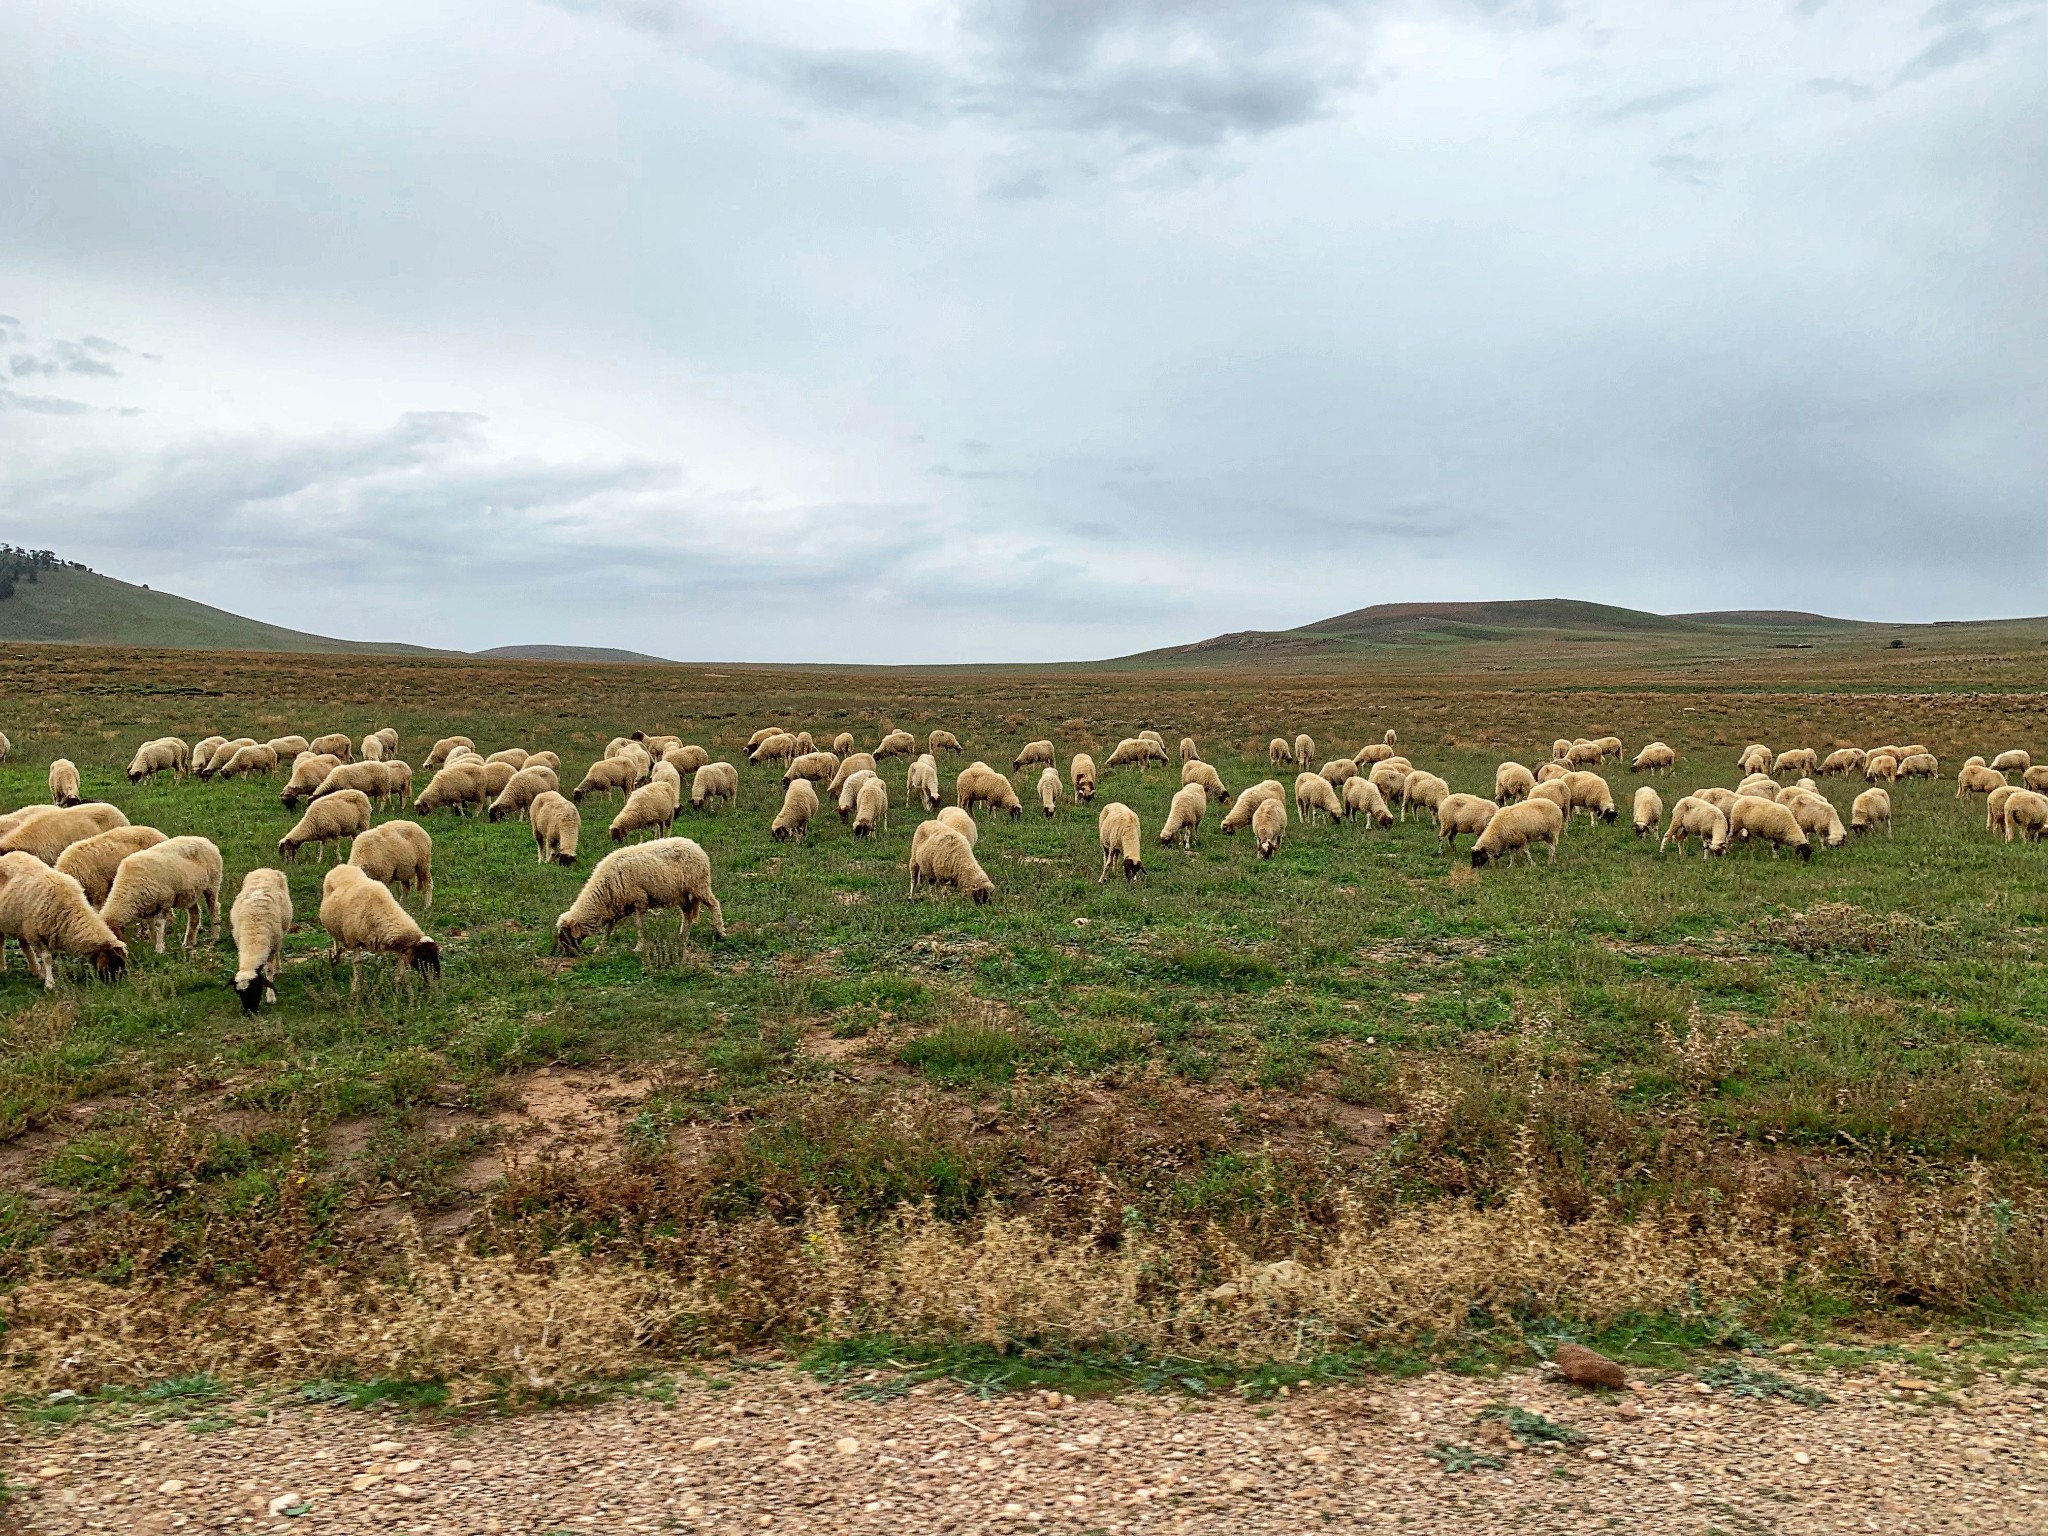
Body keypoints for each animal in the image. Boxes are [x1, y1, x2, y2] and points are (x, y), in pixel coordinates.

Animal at [0, 847, 126, 991]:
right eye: (114, 959)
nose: (117, 984)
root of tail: (5, 857)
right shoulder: (35, 933)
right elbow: (47, 957)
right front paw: (49, 983)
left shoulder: (31, 930)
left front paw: (43, 975)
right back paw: (3, 969)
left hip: (19, 923)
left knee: (23, 945)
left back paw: (35, 970)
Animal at [229, 872, 292, 1015]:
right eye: (239, 994)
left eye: (255, 990)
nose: (249, 1013)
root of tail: (265, 869)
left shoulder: (272, 946)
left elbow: (268, 970)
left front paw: (270, 997)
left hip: (282, 931)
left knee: (278, 951)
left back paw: (278, 968)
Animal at [319, 868, 440, 999]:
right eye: (425, 955)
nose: (436, 978)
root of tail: (341, 867)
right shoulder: (354, 941)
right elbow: (357, 963)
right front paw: (356, 992)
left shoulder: (403, 949)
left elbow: (400, 974)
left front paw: (400, 994)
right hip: (332, 924)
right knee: (334, 938)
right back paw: (335, 957)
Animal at [557, 835, 724, 958]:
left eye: (565, 933)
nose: (567, 954)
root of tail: (695, 844)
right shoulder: (615, 907)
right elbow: (608, 929)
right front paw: (600, 948)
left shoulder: (639, 900)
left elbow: (639, 925)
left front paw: (638, 947)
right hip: (681, 894)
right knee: (688, 913)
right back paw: (682, 937)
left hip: (699, 885)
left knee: (714, 904)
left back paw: (720, 932)